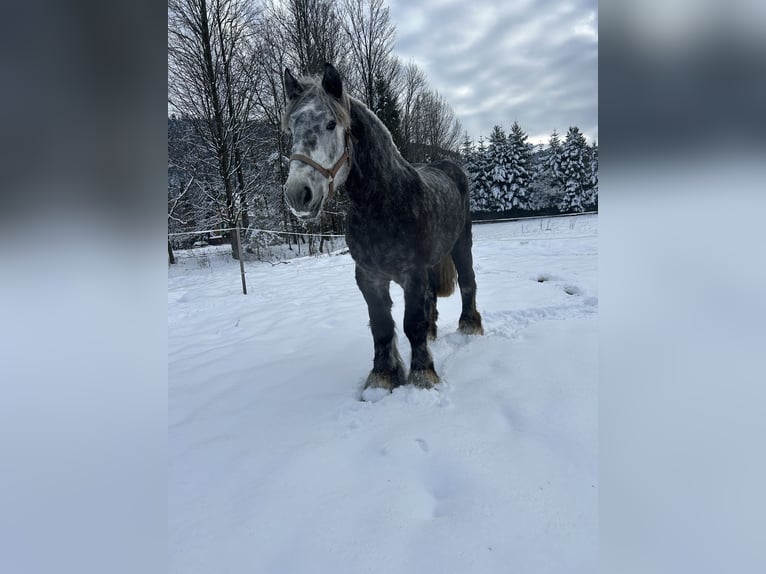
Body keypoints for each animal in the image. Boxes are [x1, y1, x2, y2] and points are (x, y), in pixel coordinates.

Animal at [282, 63, 483, 395]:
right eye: (292, 128)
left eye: (331, 124)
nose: (299, 194)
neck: (384, 203)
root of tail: (448, 166)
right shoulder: (368, 276)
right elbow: (382, 326)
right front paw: (383, 376)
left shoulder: (411, 274)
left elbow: (410, 323)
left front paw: (422, 375)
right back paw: (433, 333)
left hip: (461, 245)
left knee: (468, 282)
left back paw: (470, 325)